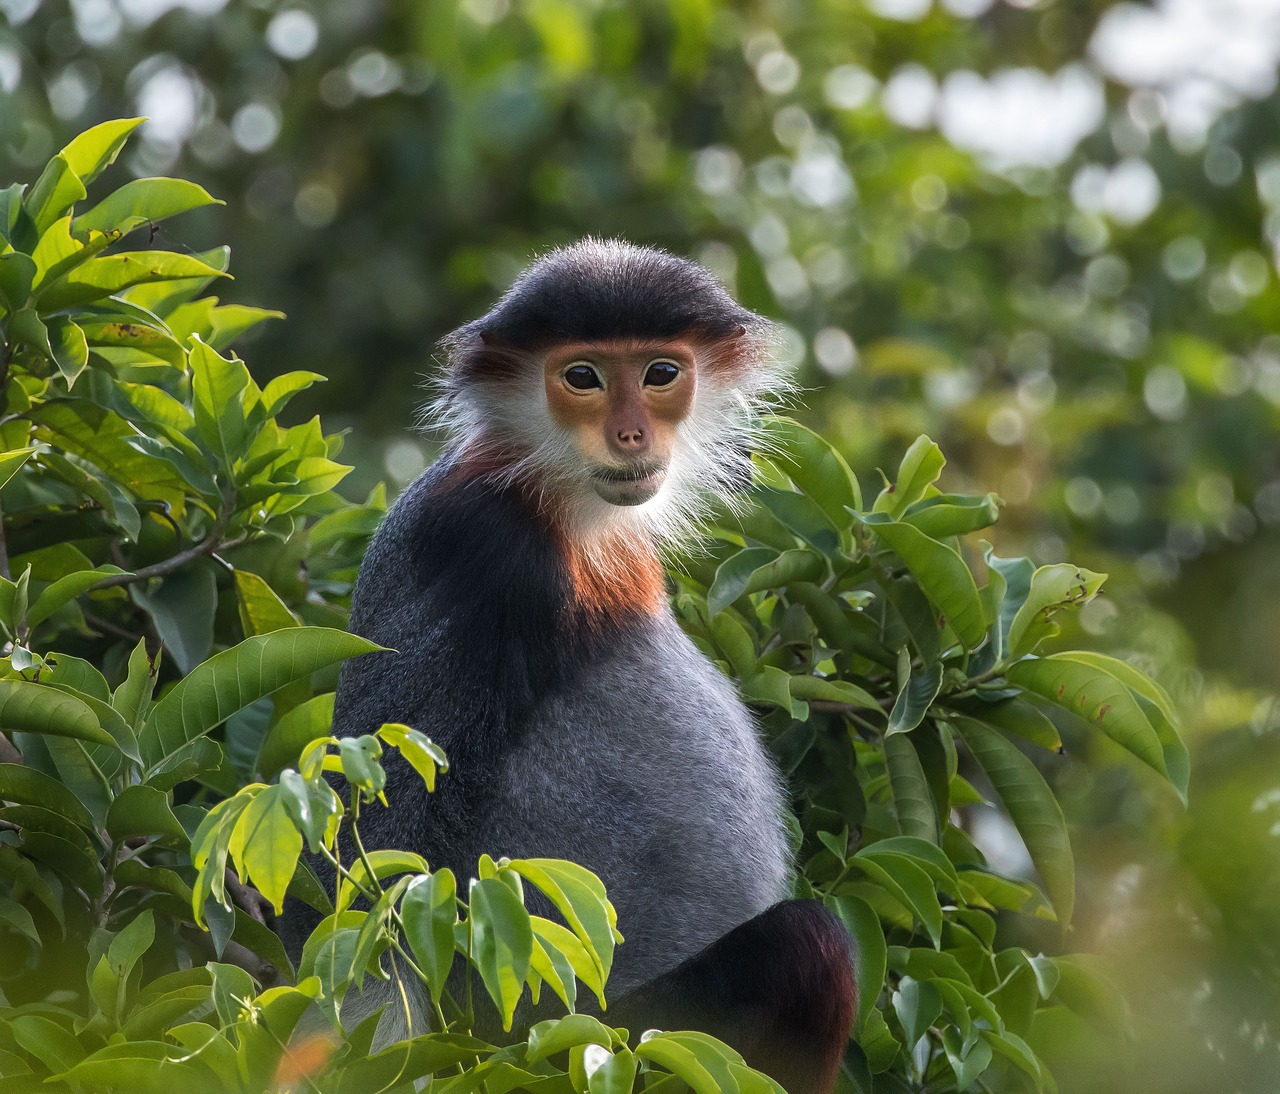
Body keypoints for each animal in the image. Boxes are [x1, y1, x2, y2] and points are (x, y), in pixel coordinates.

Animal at [285, 239, 855, 1094]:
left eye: (660, 373)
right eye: (581, 377)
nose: (630, 436)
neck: (555, 501)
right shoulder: (481, 548)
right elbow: (383, 861)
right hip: (605, 1034)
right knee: (811, 947)